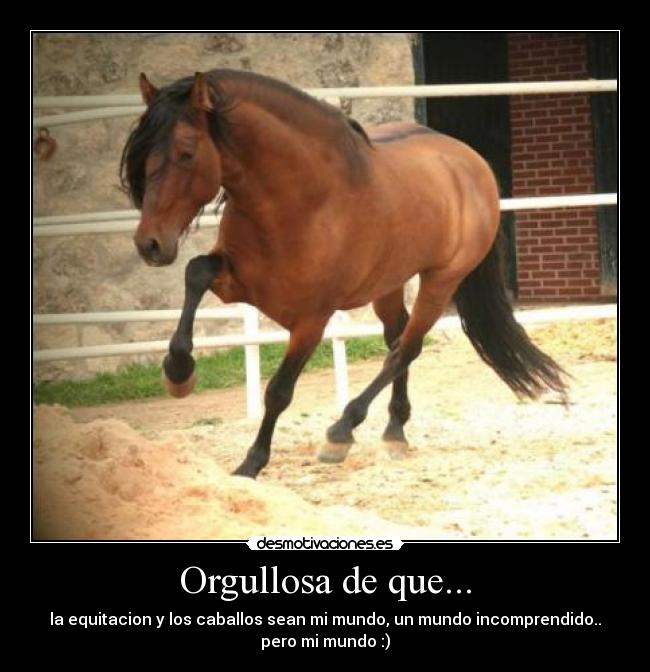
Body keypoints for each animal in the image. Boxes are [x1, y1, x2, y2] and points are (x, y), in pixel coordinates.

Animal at [120, 69, 567, 479]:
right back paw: (394, 431)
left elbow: (278, 391)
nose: (150, 244)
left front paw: (251, 463)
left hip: (441, 280)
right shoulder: (236, 282)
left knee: (405, 348)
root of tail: (473, 164)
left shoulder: (311, 320)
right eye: (143, 153)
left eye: (186, 152)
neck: (295, 202)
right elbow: (195, 273)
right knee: (397, 338)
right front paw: (178, 373)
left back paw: (341, 432)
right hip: (389, 284)